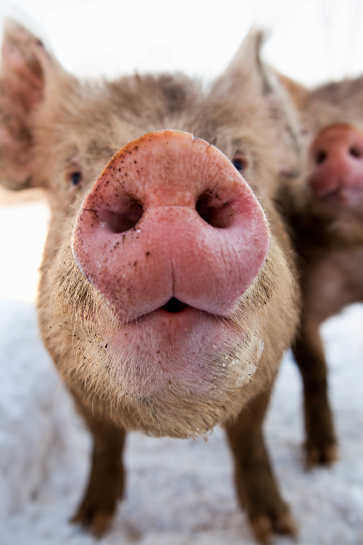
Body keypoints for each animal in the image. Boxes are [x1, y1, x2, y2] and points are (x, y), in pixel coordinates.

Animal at [0, 19, 302, 540]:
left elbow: (249, 435)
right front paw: (88, 524)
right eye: (72, 173)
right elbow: (103, 438)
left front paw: (279, 528)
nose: (168, 153)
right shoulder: (67, 373)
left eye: (241, 160)